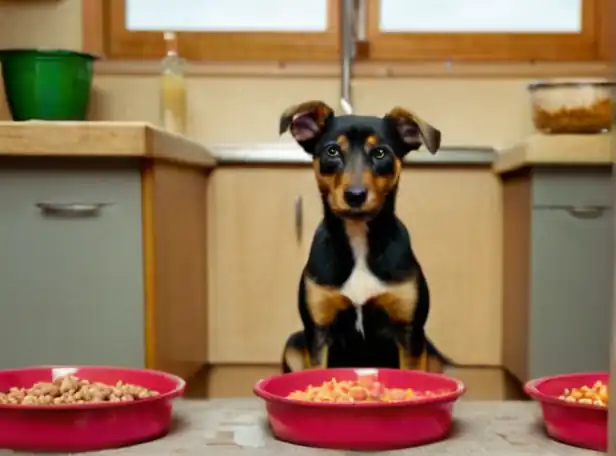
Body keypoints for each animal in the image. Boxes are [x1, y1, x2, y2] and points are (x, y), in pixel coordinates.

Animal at [280, 100, 452, 374]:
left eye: (380, 153)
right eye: (332, 151)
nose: (355, 195)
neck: (358, 237)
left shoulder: (409, 332)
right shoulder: (318, 331)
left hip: (432, 353)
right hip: (294, 343)